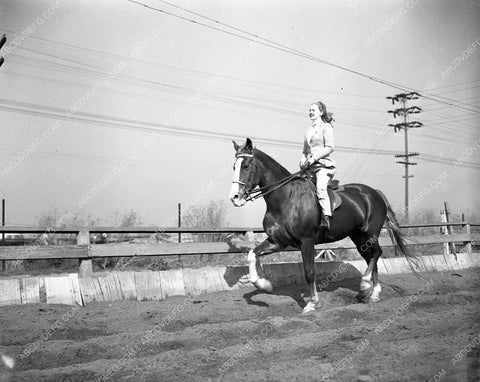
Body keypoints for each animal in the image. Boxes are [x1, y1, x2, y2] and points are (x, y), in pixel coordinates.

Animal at [229, 137, 416, 314]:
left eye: (245, 166)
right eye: (234, 167)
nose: (235, 198)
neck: (286, 199)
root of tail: (374, 192)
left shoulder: (306, 242)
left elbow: (309, 272)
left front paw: (312, 304)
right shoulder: (278, 241)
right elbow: (252, 254)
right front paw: (264, 284)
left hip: (370, 233)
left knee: (376, 253)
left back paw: (366, 287)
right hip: (359, 237)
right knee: (371, 257)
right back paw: (371, 293)